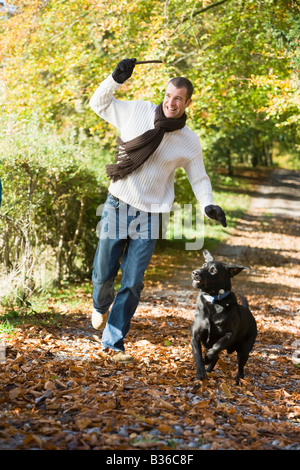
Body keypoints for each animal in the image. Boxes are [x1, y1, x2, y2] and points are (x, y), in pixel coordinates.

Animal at [191, 252, 256, 384]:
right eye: (203, 265)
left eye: (213, 270)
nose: (195, 272)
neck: (213, 301)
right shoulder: (195, 336)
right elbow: (198, 355)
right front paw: (200, 372)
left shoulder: (229, 334)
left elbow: (217, 345)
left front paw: (208, 357)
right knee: (216, 357)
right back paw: (208, 370)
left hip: (244, 351)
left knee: (240, 367)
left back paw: (239, 381)